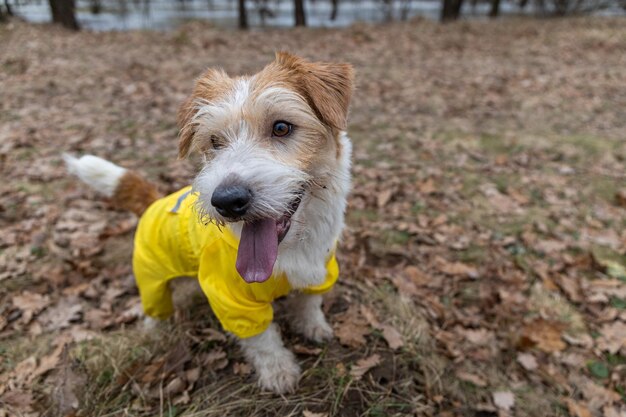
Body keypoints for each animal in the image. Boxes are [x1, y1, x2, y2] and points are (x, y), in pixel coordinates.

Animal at [65, 52, 354, 394]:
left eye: (282, 127)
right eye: (215, 141)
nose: (227, 201)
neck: (292, 249)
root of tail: (153, 201)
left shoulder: (320, 270)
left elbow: (309, 302)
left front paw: (314, 326)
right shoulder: (232, 299)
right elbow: (262, 339)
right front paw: (278, 370)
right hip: (151, 278)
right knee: (155, 310)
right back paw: (155, 331)